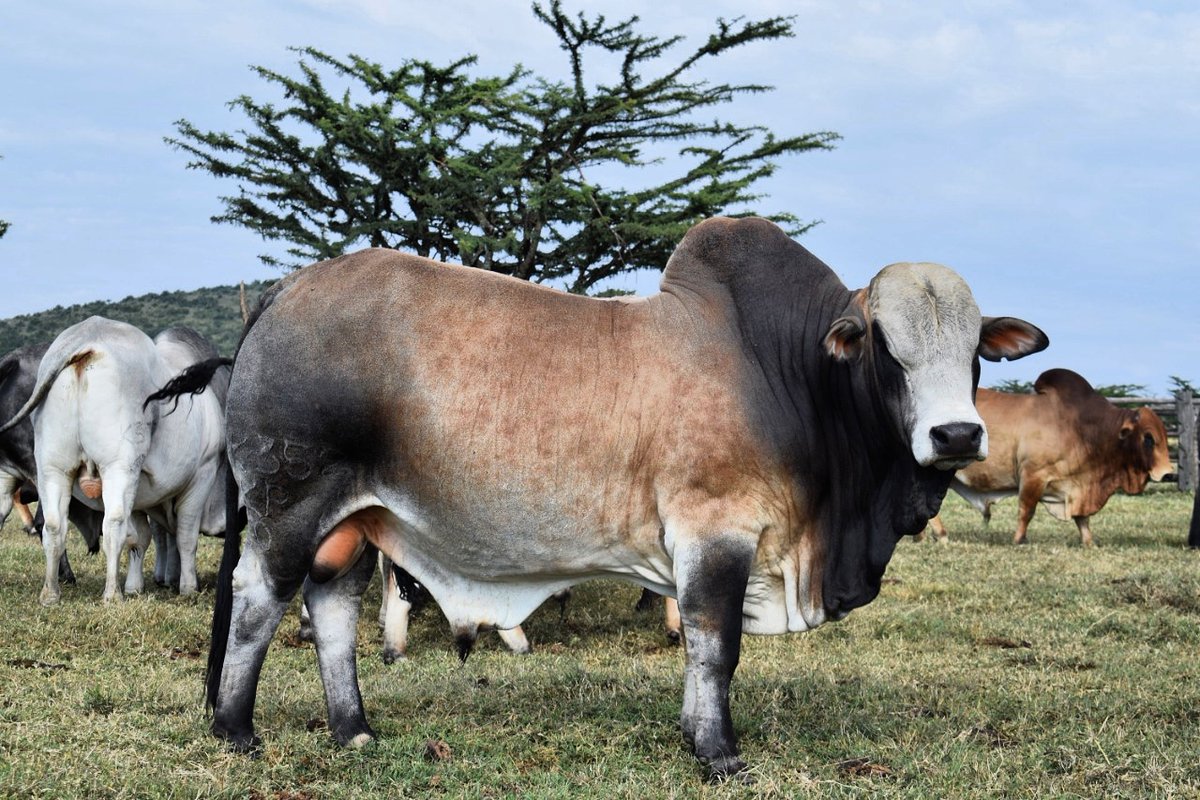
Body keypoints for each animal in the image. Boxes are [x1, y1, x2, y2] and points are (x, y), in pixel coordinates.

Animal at [168, 217, 1045, 779]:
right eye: (888, 351)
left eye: (975, 351)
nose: (958, 435)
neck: (784, 372)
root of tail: (284, 292)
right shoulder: (714, 529)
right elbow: (715, 644)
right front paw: (718, 753)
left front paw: (696, 737)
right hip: (290, 504)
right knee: (258, 599)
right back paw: (236, 731)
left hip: (354, 520)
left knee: (332, 608)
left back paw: (354, 730)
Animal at [922, 369, 1173, 546]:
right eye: (1148, 438)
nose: (1168, 473)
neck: (1082, 428)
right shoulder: (1033, 475)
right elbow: (1027, 510)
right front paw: (1019, 540)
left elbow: (1083, 519)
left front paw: (1089, 542)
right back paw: (938, 535)